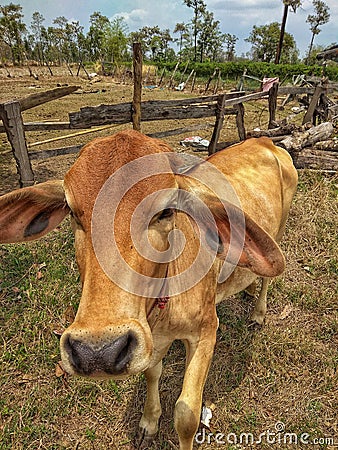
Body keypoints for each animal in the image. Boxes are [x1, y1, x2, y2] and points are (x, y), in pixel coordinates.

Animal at [0, 130, 296, 450]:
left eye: (165, 211)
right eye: (72, 211)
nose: (97, 352)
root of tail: (263, 141)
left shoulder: (206, 331)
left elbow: (186, 415)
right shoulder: (152, 337)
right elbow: (152, 372)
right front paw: (149, 421)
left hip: (280, 231)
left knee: (268, 280)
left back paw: (258, 312)